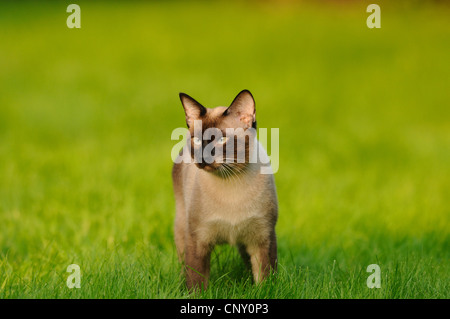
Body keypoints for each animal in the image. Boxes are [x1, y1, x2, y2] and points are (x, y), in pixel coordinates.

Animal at [172, 90, 278, 292]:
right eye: (197, 140)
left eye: (222, 140)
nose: (203, 159)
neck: (231, 180)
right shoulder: (198, 240)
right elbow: (196, 283)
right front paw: (196, 294)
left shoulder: (262, 237)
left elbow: (265, 279)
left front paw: (261, 291)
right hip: (182, 228)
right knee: (182, 264)